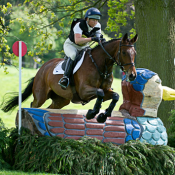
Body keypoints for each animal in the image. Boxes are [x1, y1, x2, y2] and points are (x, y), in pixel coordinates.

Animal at [1, 33, 138, 123]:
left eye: (135, 53)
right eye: (124, 52)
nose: (132, 75)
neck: (100, 65)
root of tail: (42, 68)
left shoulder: (106, 91)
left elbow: (115, 96)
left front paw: (103, 116)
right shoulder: (84, 91)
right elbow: (99, 92)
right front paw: (92, 113)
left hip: (61, 100)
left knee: (50, 108)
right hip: (40, 96)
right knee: (33, 105)